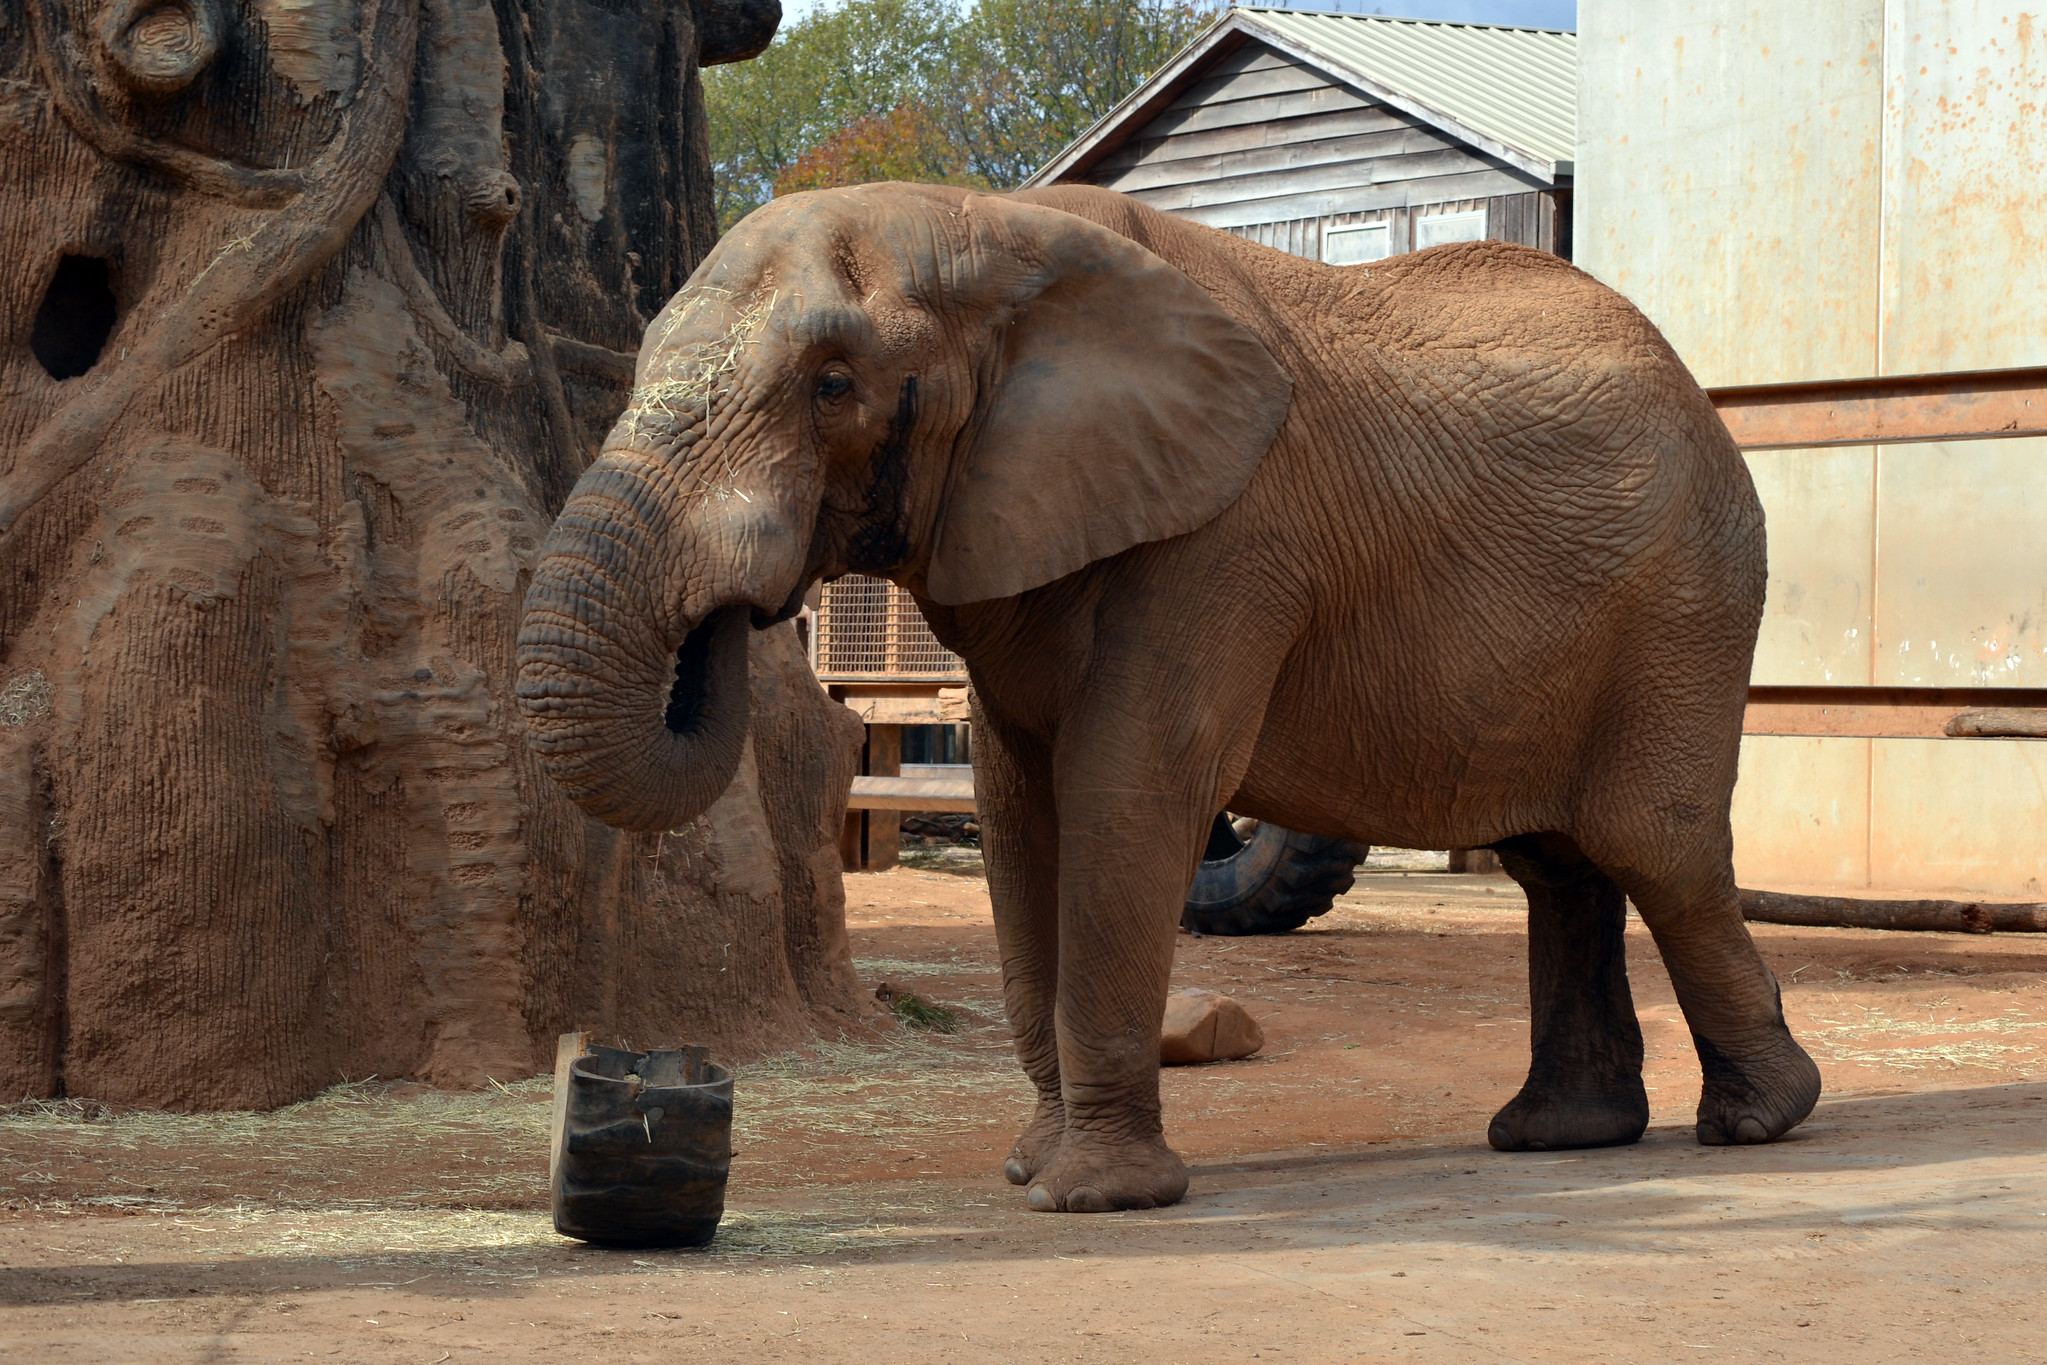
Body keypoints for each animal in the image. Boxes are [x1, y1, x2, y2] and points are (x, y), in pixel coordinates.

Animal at [515, 181, 1822, 1214]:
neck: (991, 225)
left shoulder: (1227, 540)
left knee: (1653, 846)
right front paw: (1029, 1168)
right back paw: (1557, 1136)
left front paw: (1089, 1199)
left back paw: (1758, 1122)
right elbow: (1017, 811)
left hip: (1687, 602)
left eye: (834, 384)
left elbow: (1128, 790)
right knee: (1561, 863)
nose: (735, 610)